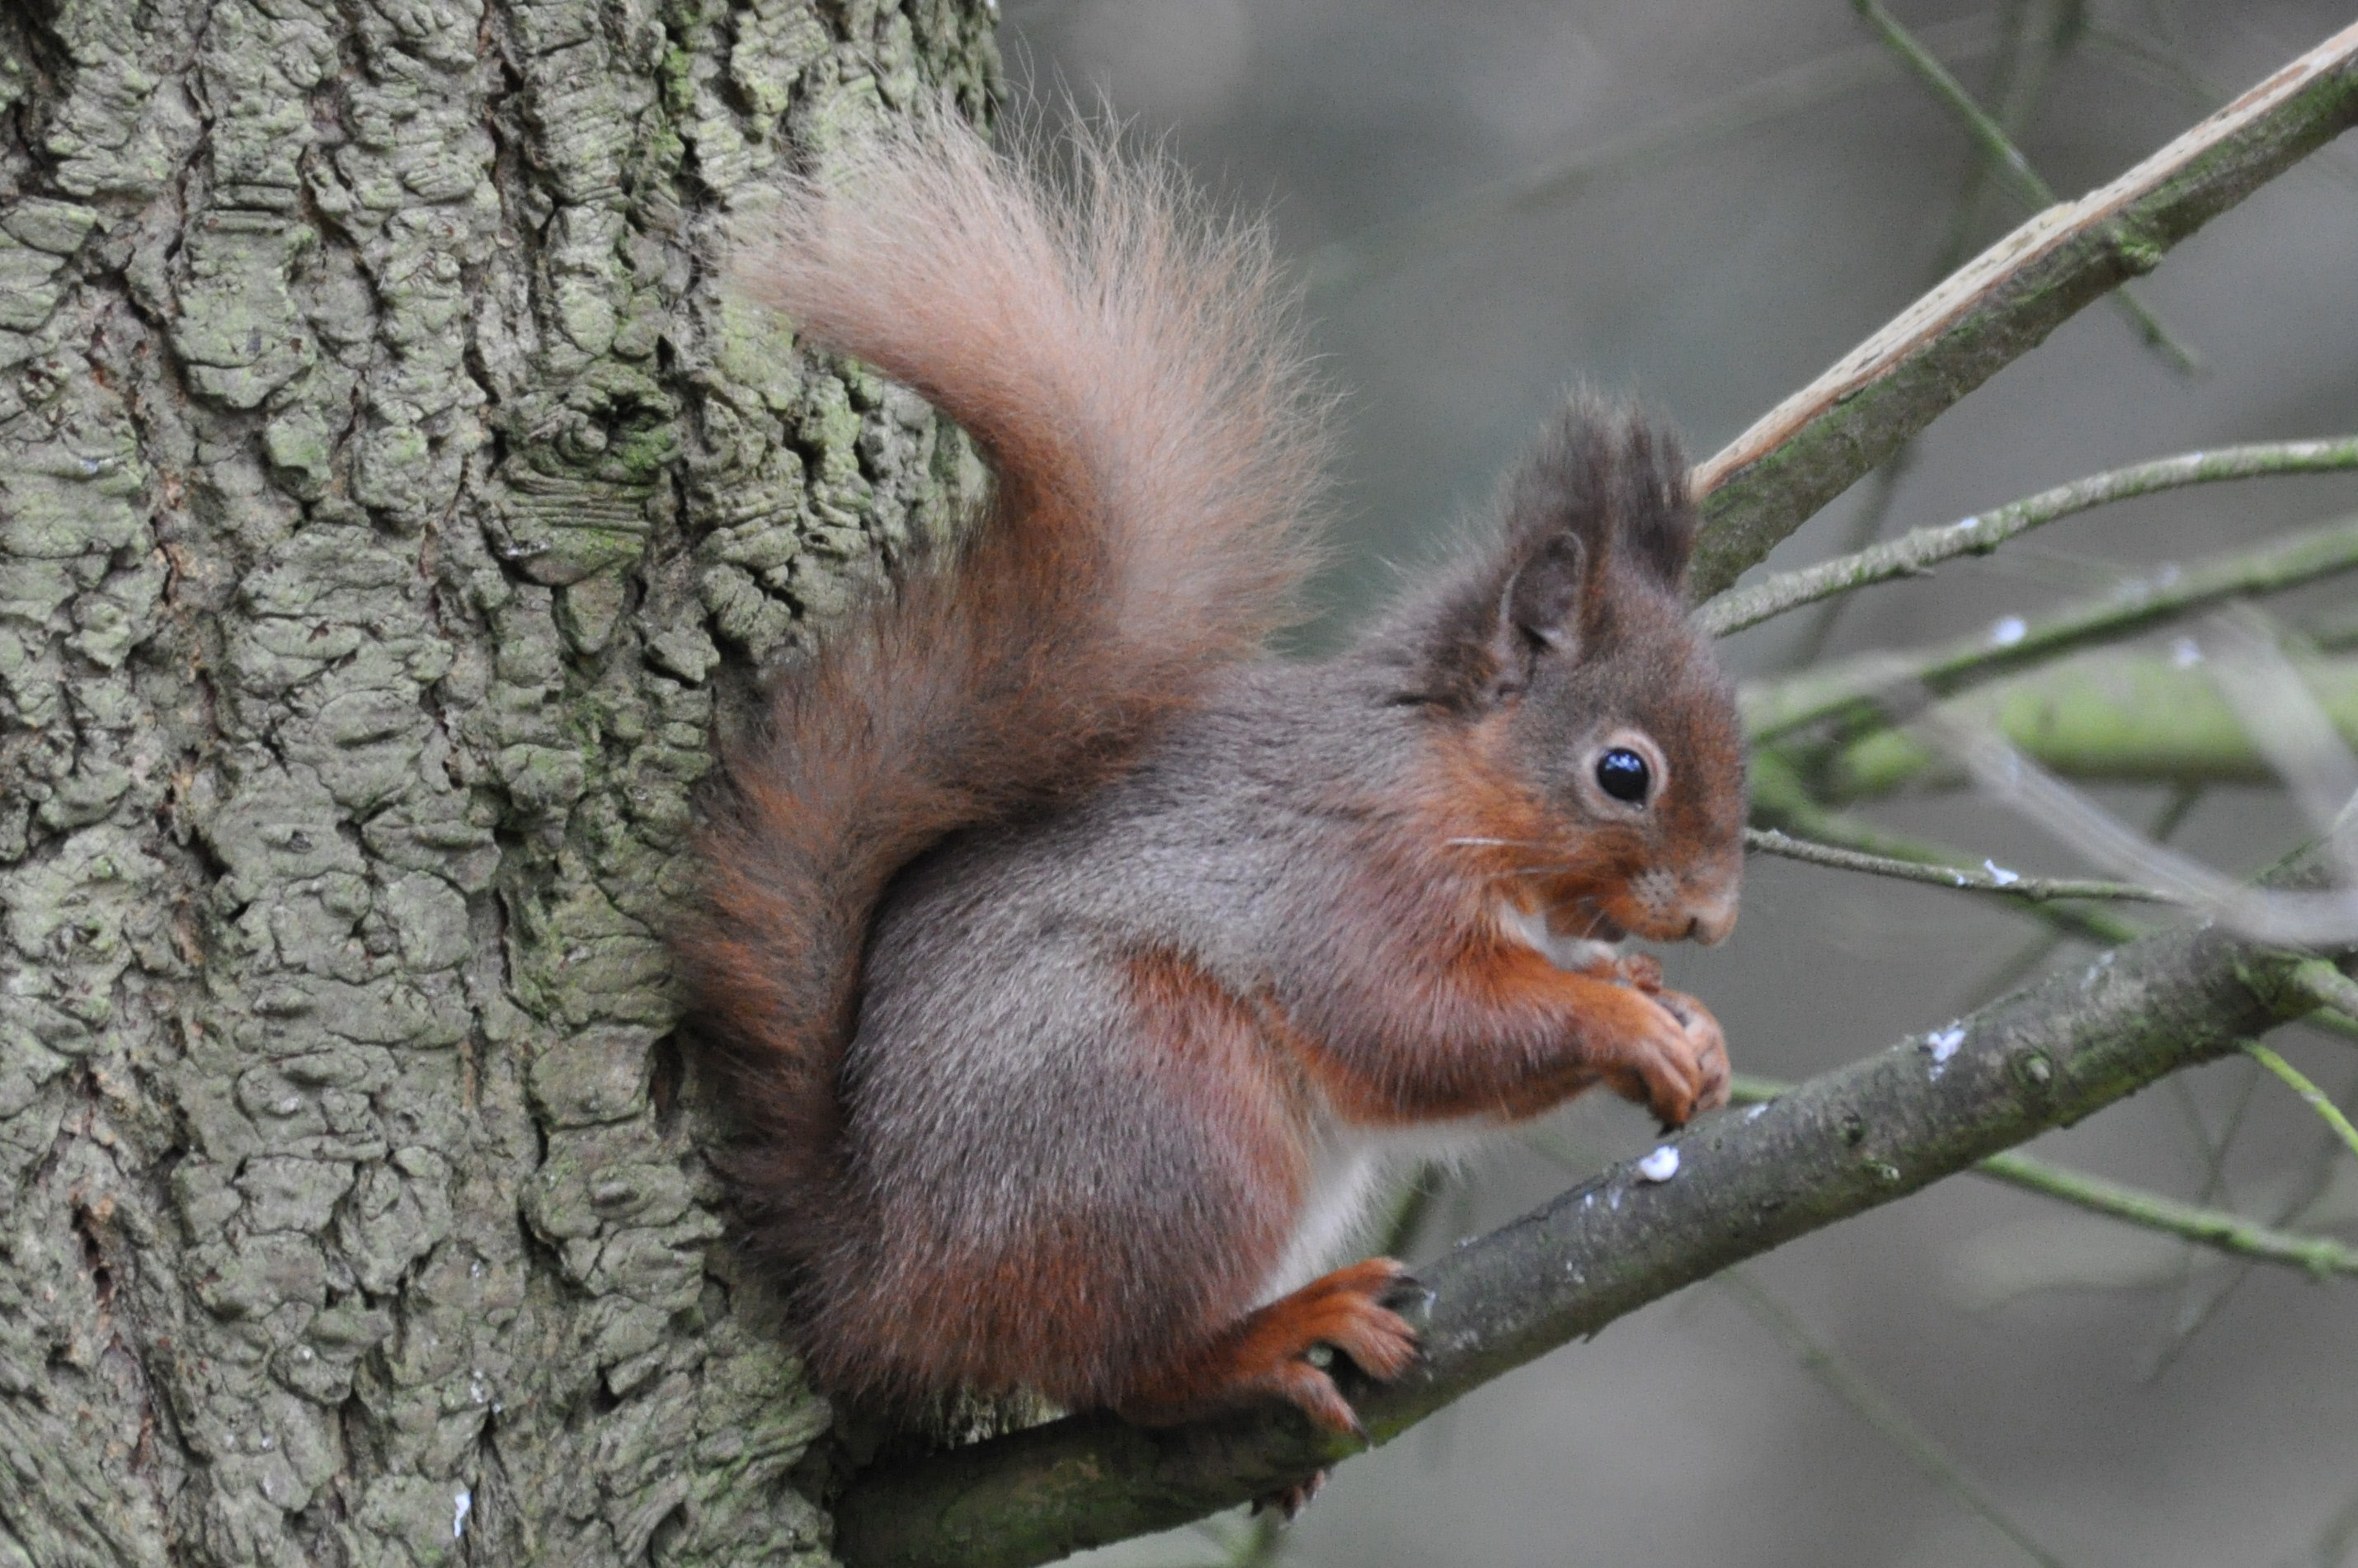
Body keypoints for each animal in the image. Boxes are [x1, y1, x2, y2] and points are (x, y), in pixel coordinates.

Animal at [674, 107, 1744, 1452]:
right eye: (1622, 772)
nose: (1715, 914)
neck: (1446, 782)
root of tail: (881, 1278)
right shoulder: (1347, 881)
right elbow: (1418, 1028)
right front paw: (1622, 1021)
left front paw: (1674, 1009)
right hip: (1168, 1109)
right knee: (1123, 1373)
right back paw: (1274, 1335)